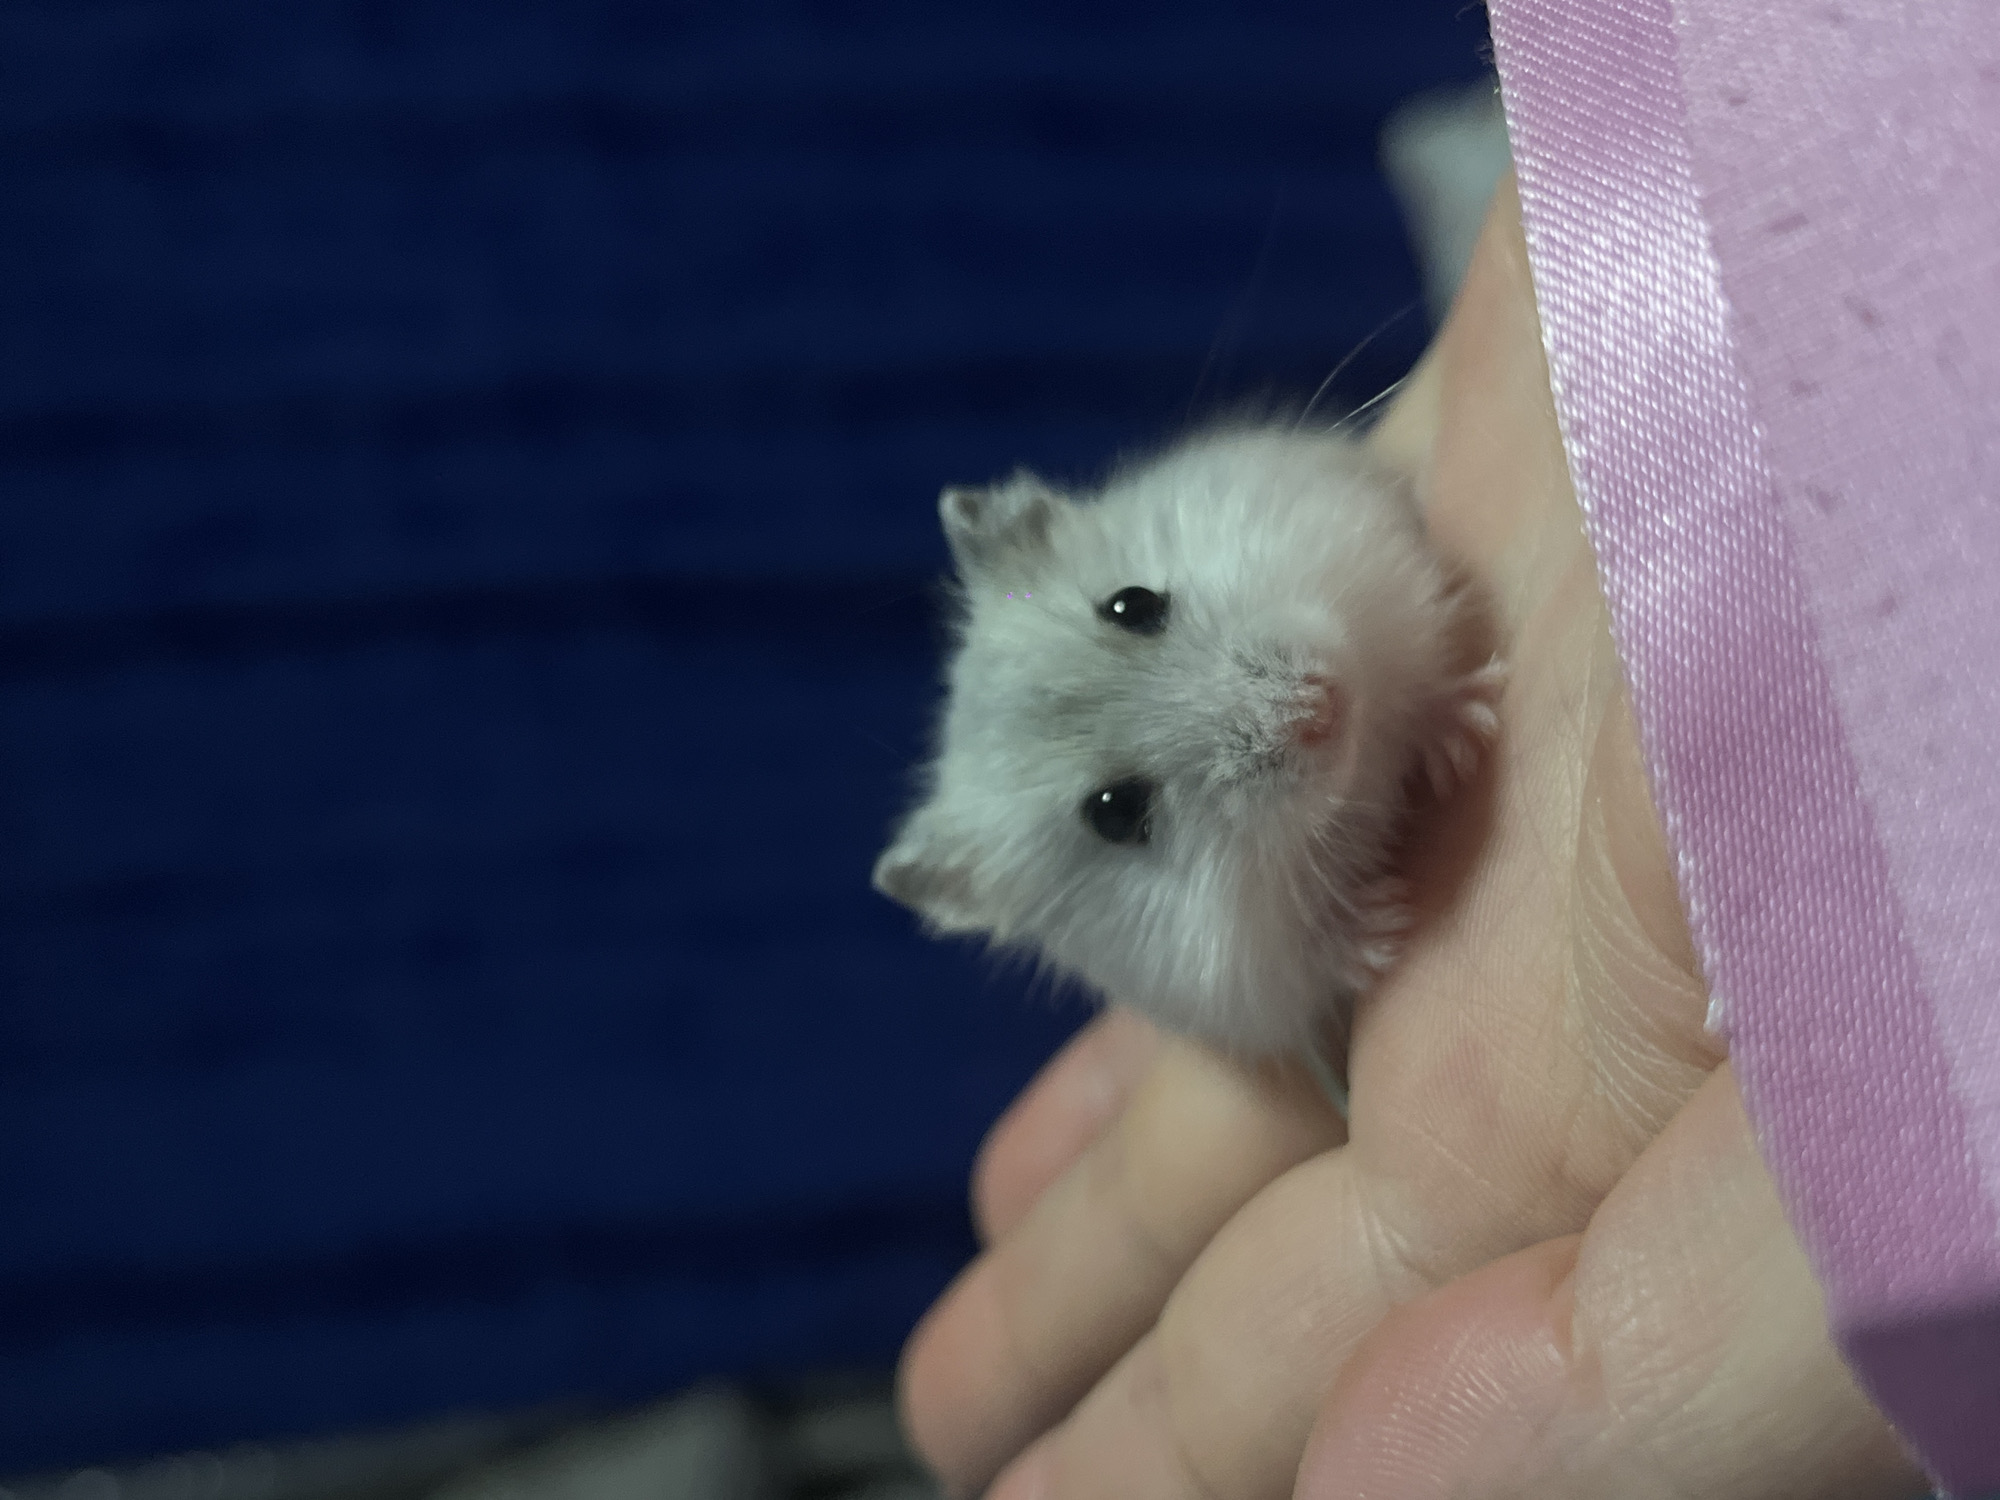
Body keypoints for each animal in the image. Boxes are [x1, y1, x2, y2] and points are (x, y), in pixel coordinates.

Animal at [873, 424, 1502, 1063]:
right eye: (1115, 814)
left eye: (1132, 603)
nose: (1321, 708)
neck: (1353, 780)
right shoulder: (1237, 985)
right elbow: (1310, 962)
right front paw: (1387, 925)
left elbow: (1415, 677)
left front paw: (1472, 731)